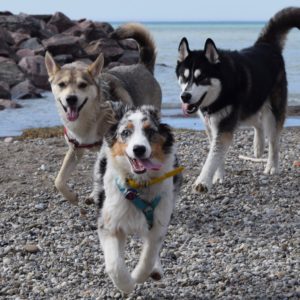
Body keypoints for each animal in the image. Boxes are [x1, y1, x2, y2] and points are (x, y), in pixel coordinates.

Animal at [45, 24, 162, 204]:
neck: (90, 118)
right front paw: (71, 197)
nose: (71, 99)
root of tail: (143, 66)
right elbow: (59, 180)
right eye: (62, 84)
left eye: (82, 85)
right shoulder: (75, 149)